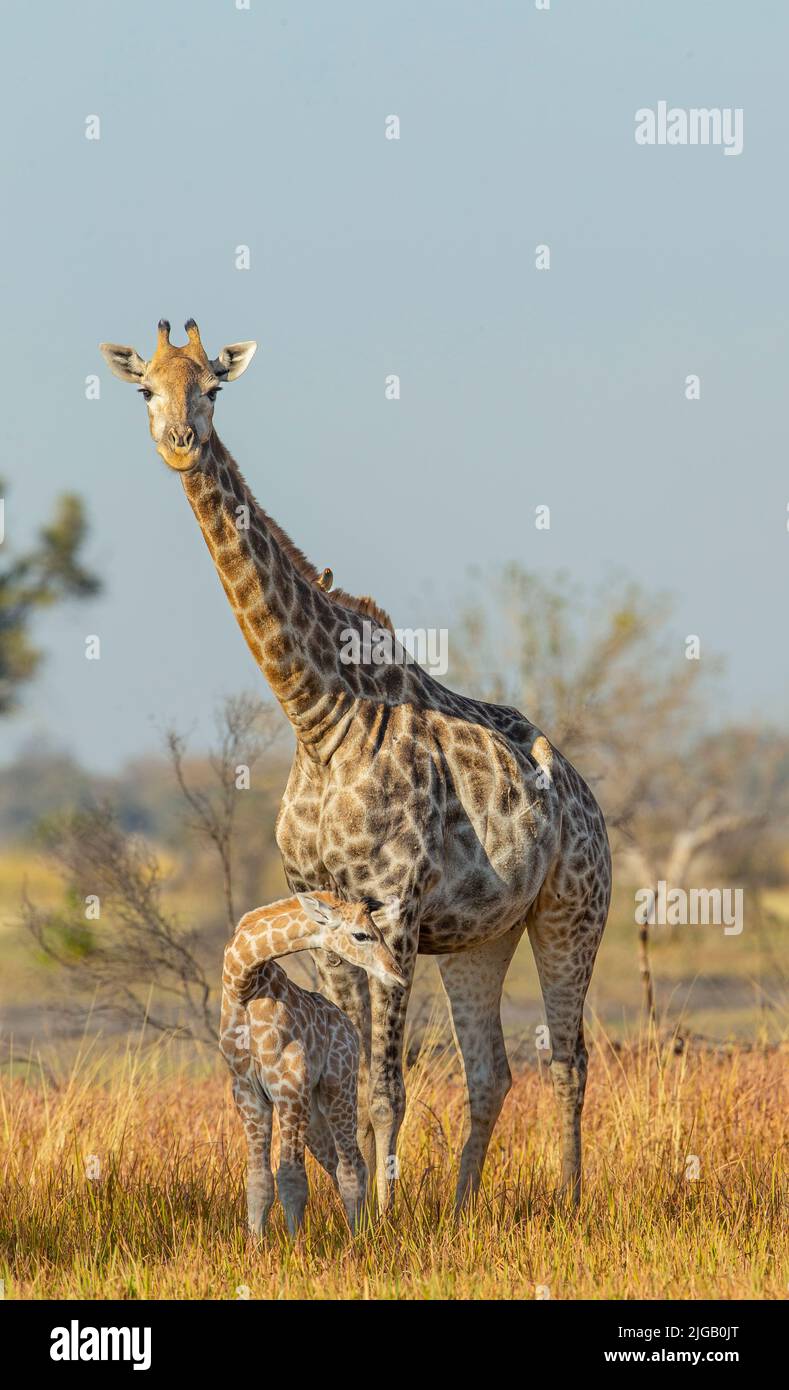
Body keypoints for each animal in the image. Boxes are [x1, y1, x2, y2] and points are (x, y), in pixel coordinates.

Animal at [222, 895, 405, 1245]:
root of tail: (349, 1030)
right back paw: (362, 1228)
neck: (242, 983)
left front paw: (296, 1248)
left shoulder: (290, 1087)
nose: (398, 975)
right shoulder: (248, 1094)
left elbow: (291, 1178)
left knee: (353, 1166)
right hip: (316, 1116)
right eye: (362, 935)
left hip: (338, 1090)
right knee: (336, 1165)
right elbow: (259, 1181)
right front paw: (255, 1248)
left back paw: (358, 1240)